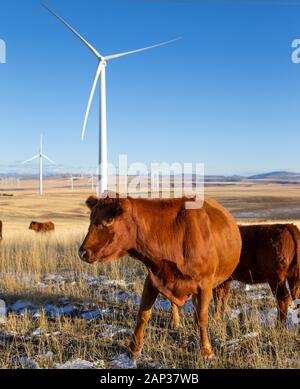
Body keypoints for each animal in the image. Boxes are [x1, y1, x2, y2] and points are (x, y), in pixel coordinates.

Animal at [78, 192, 241, 360]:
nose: (83, 252)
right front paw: (134, 349)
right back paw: (175, 322)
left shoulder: (205, 284)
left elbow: (202, 317)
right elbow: (143, 314)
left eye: (109, 220)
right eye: (91, 218)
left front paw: (207, 351)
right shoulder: (152, 279)